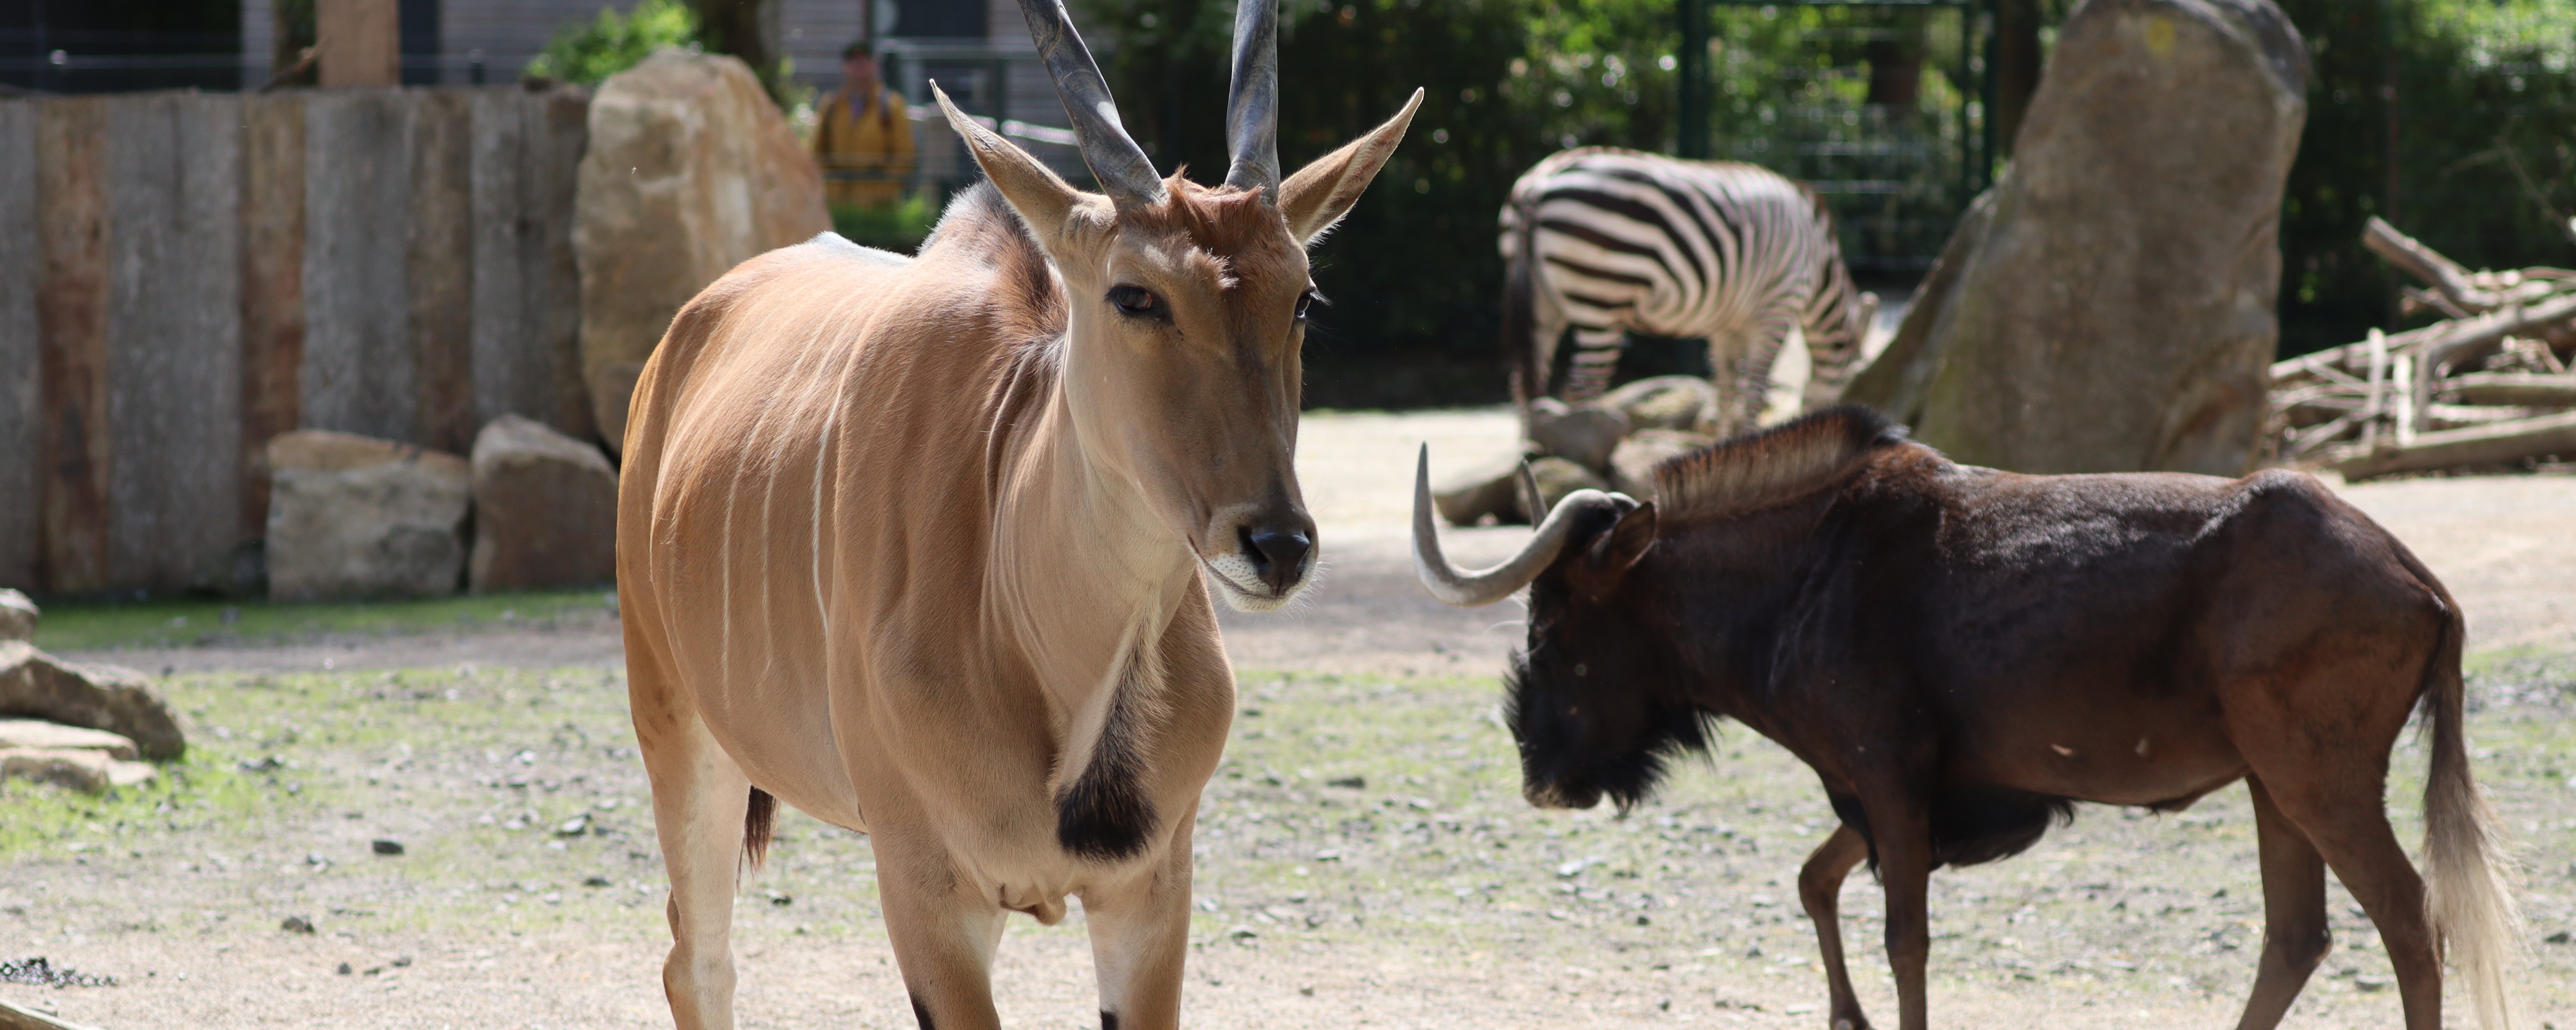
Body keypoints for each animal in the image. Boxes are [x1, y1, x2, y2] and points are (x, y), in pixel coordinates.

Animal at [1500, 147, 1877, 433]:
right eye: (1856, 368)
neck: (1818, 261)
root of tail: (1540, 182)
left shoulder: (1728, 324)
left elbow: (1726, 388)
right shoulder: (1777, 307)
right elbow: (1754, 389)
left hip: (1544, 300)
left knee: (1526, 382)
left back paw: (1534, 458)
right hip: (1600, 295)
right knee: (1582, 386)